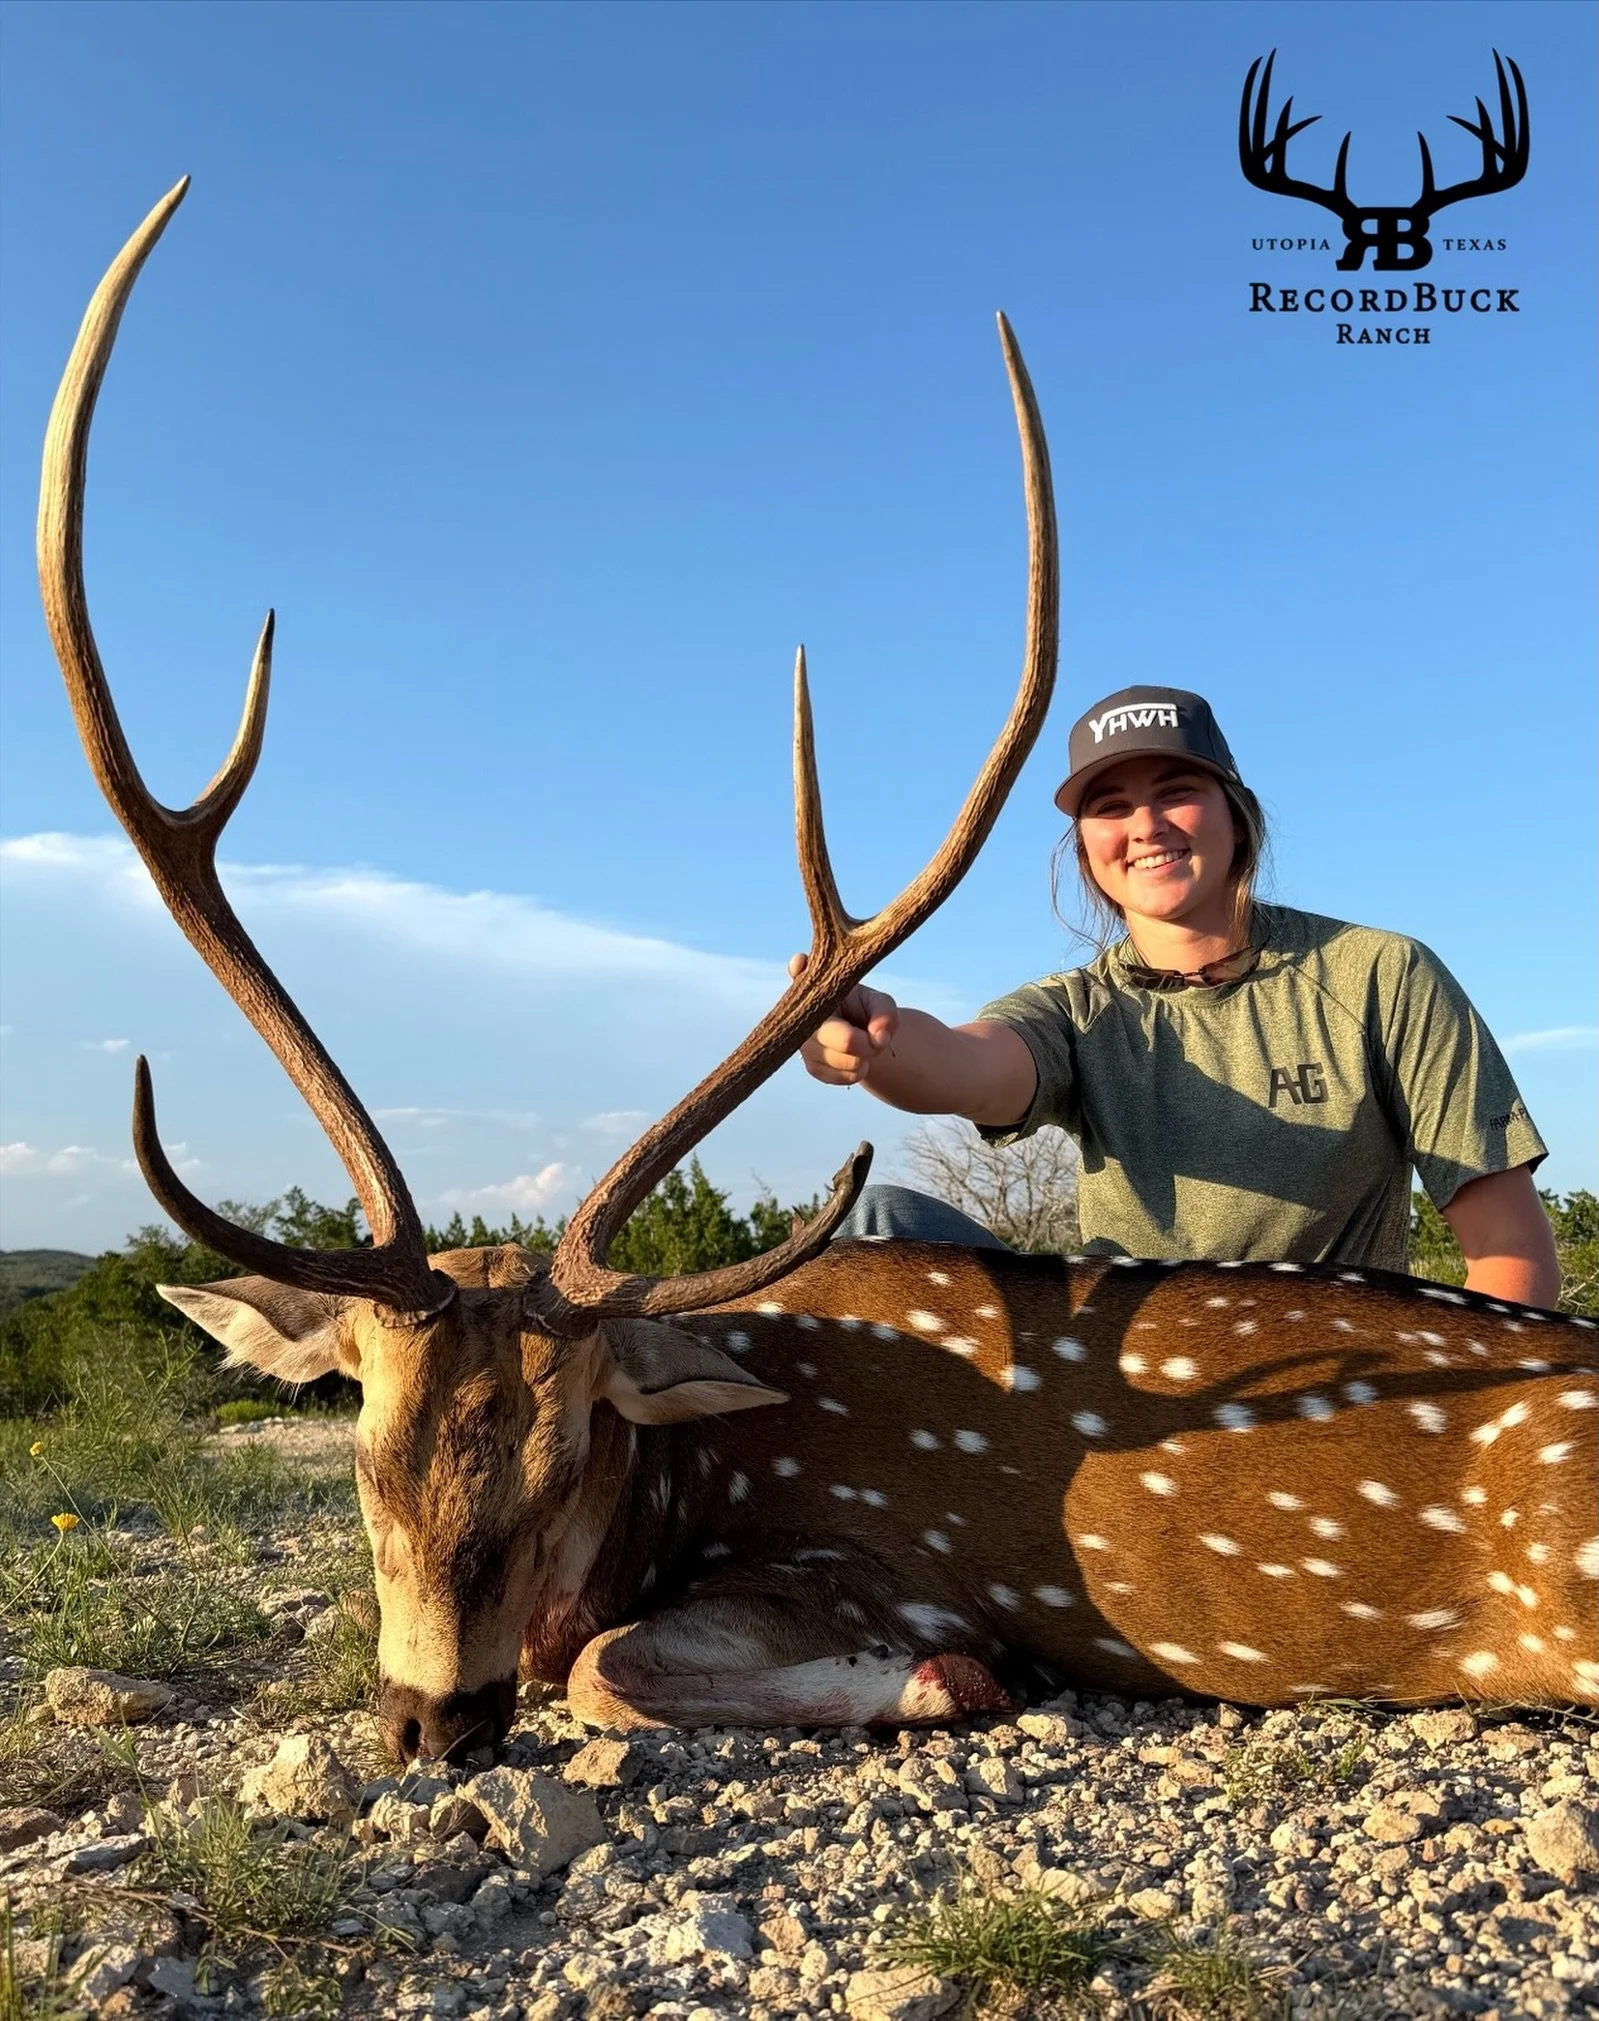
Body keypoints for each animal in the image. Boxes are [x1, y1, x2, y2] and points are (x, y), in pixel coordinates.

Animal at [39, 181, 1598, 1764]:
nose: (433, 1719)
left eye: (568, 1450)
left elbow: (607, 1661)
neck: (678, 1477)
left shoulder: (858, 1557)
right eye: (363, 1452)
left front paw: (945, 1677)